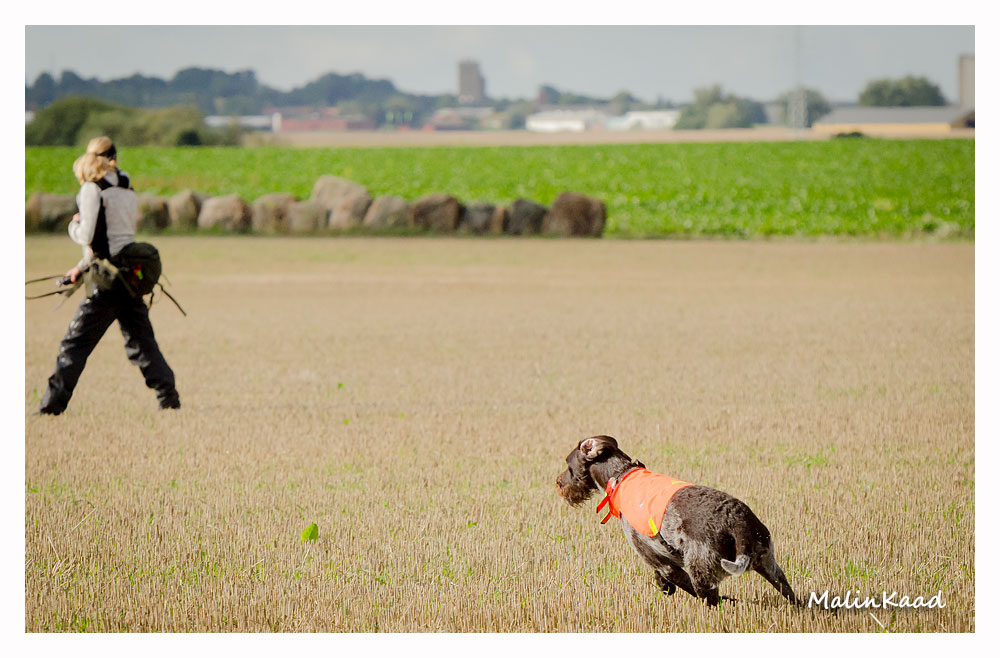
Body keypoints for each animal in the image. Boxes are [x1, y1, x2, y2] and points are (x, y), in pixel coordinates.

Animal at [556, 435, 799, 607]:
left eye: (569, 467)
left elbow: (675, 579)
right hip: (771, 566)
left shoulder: (655, 556)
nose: (558, 483)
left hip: (702, 572)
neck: (620, 475)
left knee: (709, 599)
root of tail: (739, 522)